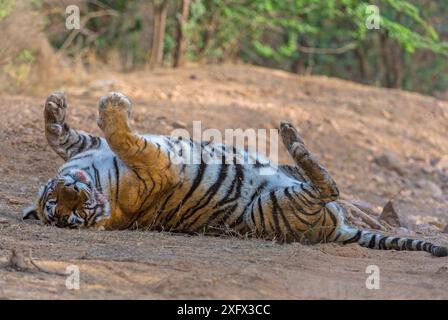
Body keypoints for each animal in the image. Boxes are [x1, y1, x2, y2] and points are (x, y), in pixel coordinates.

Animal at [23, 90, 448, 258]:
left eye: (58, 199)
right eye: (62, 211)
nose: (74, 193)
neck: (94, 176)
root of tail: (336, 232)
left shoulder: (88, 148)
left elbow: (61, 135)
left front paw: (55, 105)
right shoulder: (154, 166)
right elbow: (127, 137)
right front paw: (113, 104)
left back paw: (288, 138)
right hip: (279, 203)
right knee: (328, 186)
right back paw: (292, 140)